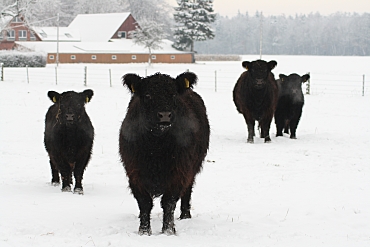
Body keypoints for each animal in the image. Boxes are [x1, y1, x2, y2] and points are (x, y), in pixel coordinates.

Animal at [120, 72, 210, 235]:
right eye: (148, 95)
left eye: (173, 94)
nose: (165, 115)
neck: (156, 146)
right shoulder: (134, 172)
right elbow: (144, 203)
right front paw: (144, 231)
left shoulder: (179, 171)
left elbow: (169, 202)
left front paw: (168, 230)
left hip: (192, 169)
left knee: (187, 191)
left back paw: (185, 215)